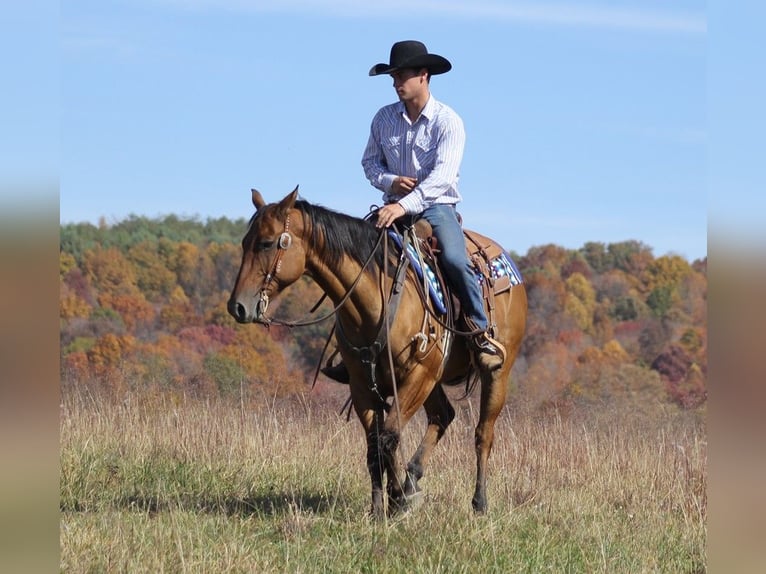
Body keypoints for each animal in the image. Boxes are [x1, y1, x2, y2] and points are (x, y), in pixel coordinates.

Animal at [228, 188, 528, 516]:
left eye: (267, 242)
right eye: (244, 242)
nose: (237, 306)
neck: (376, 298)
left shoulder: (416, 377)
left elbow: (389, 438)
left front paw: (398, 500)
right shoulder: (362, 384)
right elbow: (374, 446)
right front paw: (379, 507)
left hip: (494, 373)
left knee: (483, 434)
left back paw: (479, 502)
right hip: (433, 382)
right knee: (442, 415)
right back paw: (413, 479)